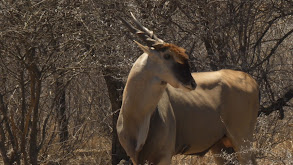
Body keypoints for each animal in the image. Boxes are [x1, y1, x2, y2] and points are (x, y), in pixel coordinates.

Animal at [116, 13, 258, 164]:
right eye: (167, 55)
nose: (192, 83)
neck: (135, 117)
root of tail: (252, 81)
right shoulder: (135, 158)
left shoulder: (165, 155)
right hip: (220, 147)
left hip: (242, 141)